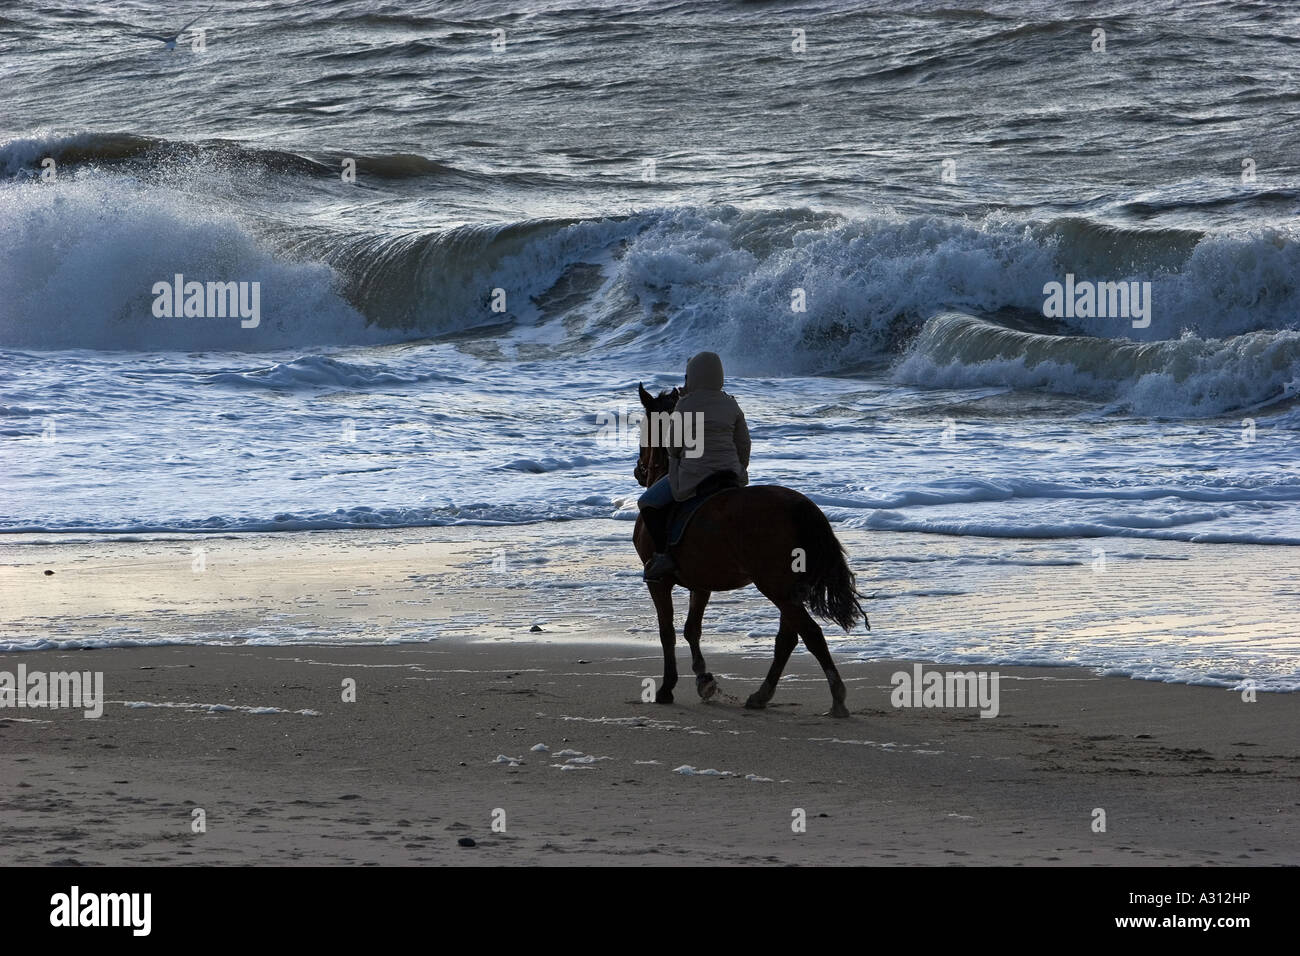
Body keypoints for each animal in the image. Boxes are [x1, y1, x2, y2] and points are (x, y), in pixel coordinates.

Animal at [631, 384, 868, 717]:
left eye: (643, 427)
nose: (639, 471)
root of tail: (799, 505)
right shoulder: (701, 583)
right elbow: (692, 629)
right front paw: (704, 680)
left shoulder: (659, 582)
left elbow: (668, 632)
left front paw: (667, 688)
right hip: (790, 588)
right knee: (788, 637)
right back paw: (762, 694)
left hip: (776, 586)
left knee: (810, 634)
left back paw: (836, 697)